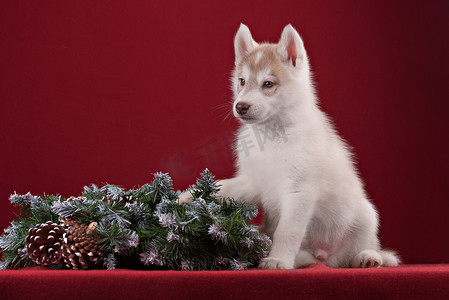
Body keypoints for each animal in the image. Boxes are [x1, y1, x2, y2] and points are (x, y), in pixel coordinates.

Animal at [178, 24, 400, 270]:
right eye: (242, 81)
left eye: (268, 84)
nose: (240, 106)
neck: (270, 136)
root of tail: (325, 256)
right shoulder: (253, 182)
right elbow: (224, 187)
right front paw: (187, 197)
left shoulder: (299, 191)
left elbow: (287, 231)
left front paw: (278, 259)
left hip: (366, 215)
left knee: (366, 249)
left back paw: (367, 258)